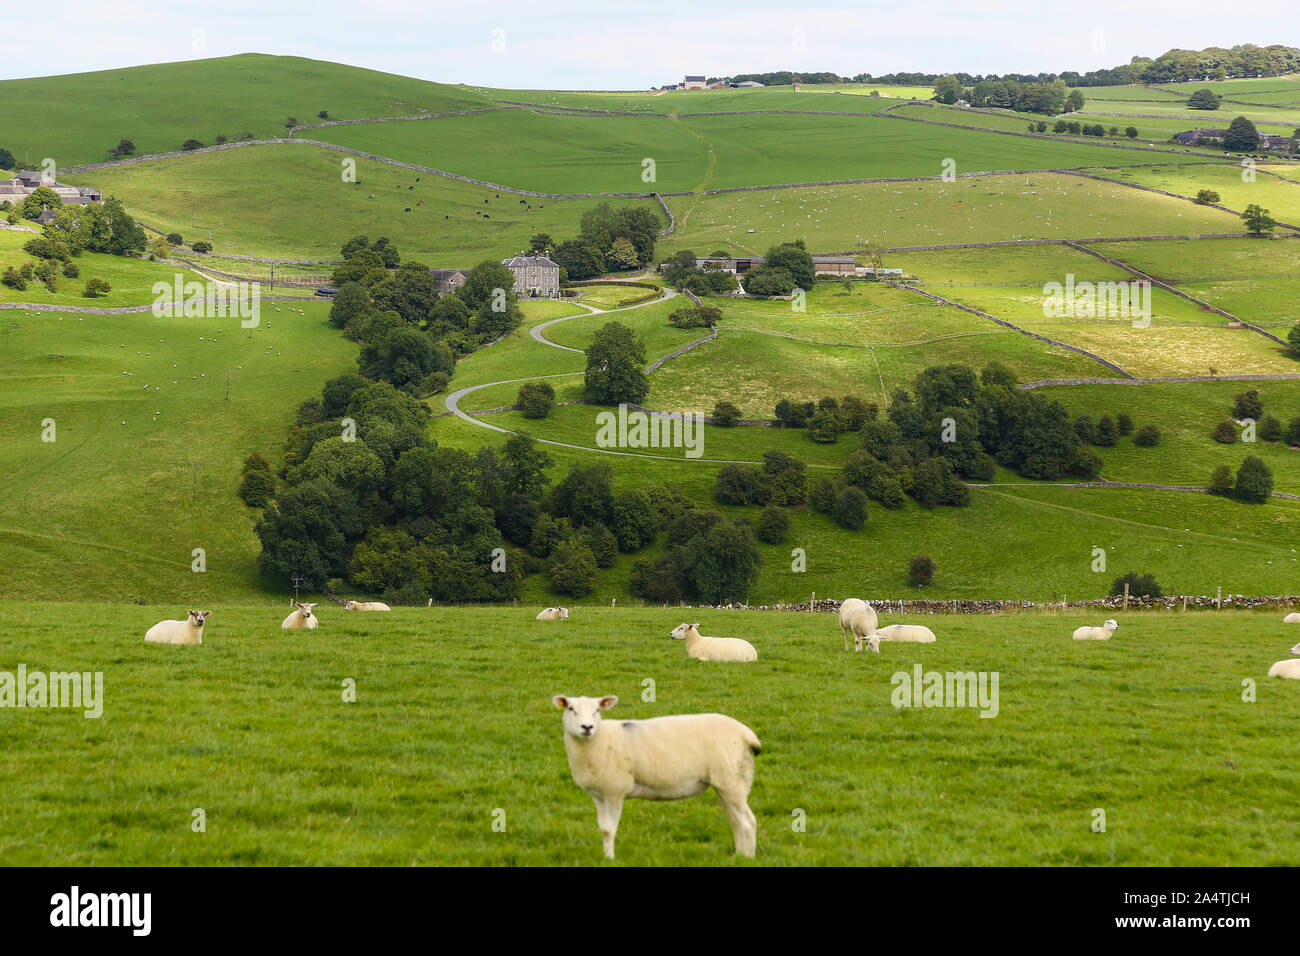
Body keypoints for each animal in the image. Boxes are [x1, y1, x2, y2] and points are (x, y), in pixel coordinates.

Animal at [551, 697, 759, 858]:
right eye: (571, 708)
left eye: (597, 710)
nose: (587, 727)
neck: (601, 739)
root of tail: (747, 734)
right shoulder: (599, 795)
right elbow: (604, 829)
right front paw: (605, 856)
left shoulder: (614, 792)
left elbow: (610, 829)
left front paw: (610, 859)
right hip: (726, 785)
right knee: (736, 822)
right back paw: (738, 855)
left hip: (732, 781)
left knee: (748, 822)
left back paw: (748, 858)